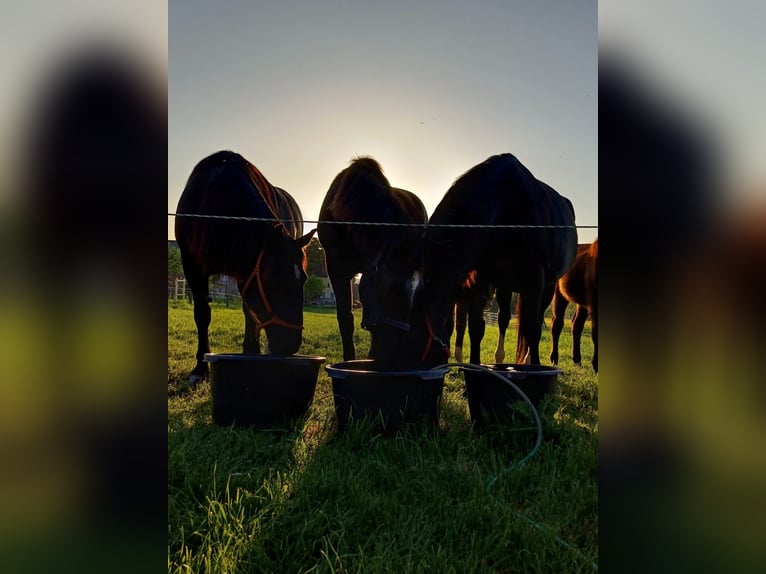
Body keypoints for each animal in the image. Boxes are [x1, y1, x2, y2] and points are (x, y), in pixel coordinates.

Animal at [176, 152, 316, 388]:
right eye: (272, 280)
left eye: (304, 279)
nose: (289, 345)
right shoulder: (193, 266)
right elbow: (202, 314)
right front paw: (200, 368)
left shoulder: (247, 271)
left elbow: (250, 312)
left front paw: (251, 351)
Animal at [376, 153, 580, 368]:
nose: (383, 358)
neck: (507, 207)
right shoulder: (479, 279)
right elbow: (476, 328)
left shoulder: (535, 279)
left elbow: (533, 328)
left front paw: (536, 368)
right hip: (506, 285)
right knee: (504, 318)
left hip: (547, 287)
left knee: (535, 321)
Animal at [552, 238, 600, 374]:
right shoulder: (594, 303)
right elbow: (596, 334)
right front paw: (596, 366)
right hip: (559, 293)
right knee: (557, 324)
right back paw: (554, 359)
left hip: (582, 304)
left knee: (577, 325)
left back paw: (577, 360)